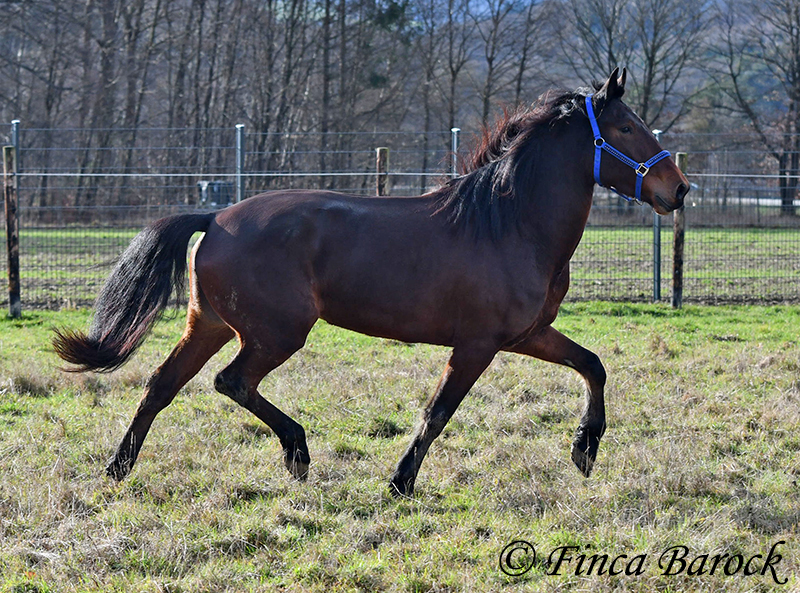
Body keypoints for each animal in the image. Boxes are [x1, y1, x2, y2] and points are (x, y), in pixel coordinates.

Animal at [53, 69, 688, 496]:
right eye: (626, 127)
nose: (679, 189)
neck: (508, 222)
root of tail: (216, 216)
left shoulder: (527, 335)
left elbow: (593, 366)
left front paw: (584, 451)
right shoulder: (478, 345)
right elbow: (437, 412)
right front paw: (401, 482)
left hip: (207, 324)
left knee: (161, 385)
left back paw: (117, 469)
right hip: (275, 333)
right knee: (231, 382)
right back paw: (298, 451)